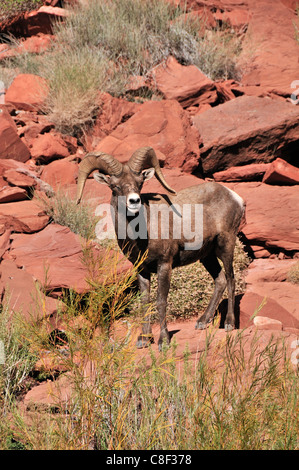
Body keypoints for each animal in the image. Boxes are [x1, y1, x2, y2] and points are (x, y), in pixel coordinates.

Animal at [77, 147, 246, 348]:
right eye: (114, 186)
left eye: (139, 183)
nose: (134, 201)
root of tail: (235, 197)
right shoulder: (141, 269)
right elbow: (145, 301)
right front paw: (144, 339)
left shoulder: (164, 264)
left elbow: (161, 301)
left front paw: (163, 340)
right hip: (207, 256)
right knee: (220, 280)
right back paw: (202, 322)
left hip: (226, 245)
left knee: (230, 279)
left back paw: (229, 324)